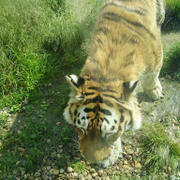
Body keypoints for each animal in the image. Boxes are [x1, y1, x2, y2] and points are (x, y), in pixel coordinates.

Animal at [63, 0, 166, 167]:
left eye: (109, 133)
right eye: (81, 129)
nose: (92, 162)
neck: (106, 72)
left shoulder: (157, 58)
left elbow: (152, 76)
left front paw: (154, 91)